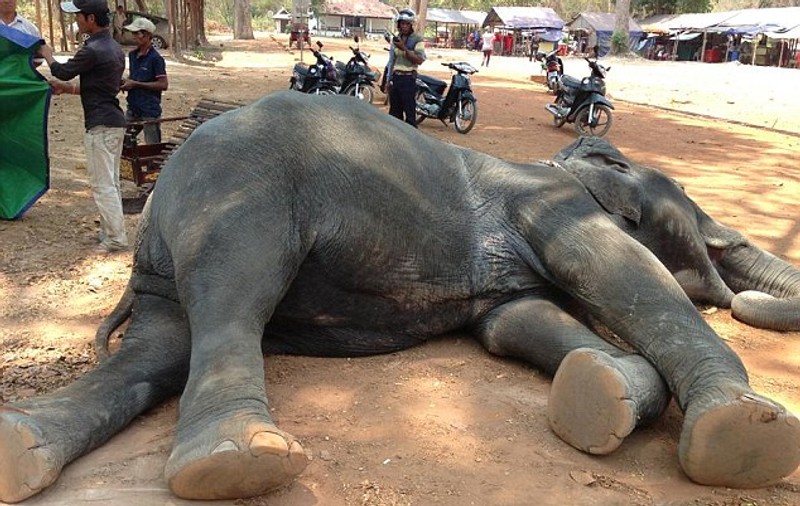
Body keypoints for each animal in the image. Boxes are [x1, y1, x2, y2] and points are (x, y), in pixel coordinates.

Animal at [1, 91, 799, 503]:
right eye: (690, 205)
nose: (727, 278)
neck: (565, 164)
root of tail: (156, 200)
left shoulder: (511, 281)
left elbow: (515, 321)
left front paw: (605, 391)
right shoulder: (554, 208)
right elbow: (622, 274)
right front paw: (744, 430)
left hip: (168, 264)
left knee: (161, 345)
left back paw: (23, 449)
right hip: (240, 191)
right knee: (233, 296)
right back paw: (234, 463)